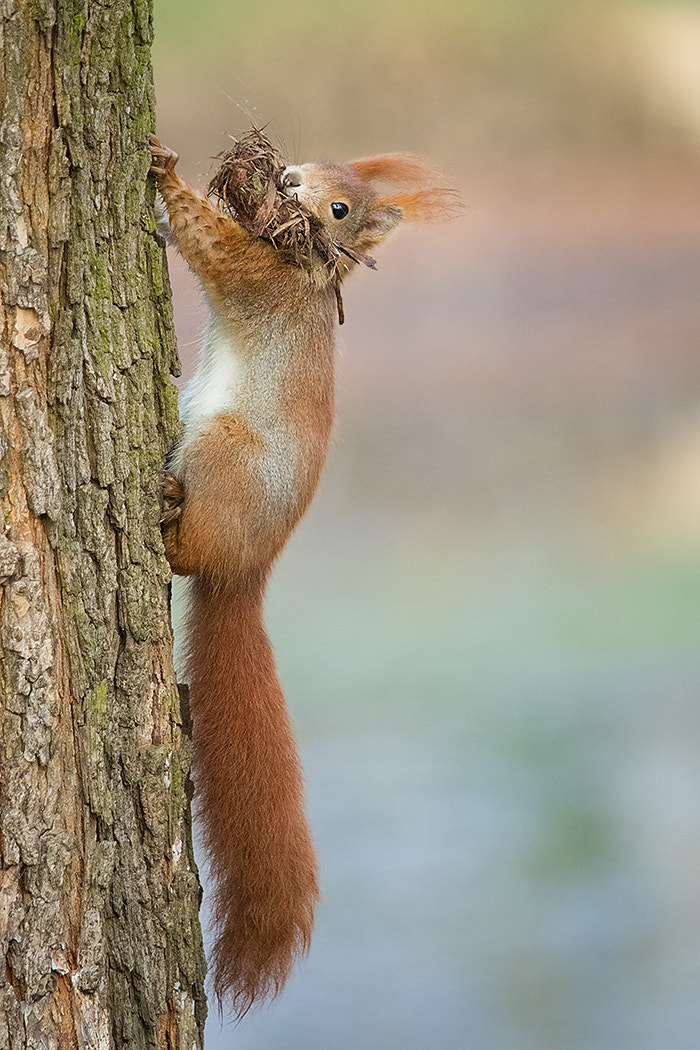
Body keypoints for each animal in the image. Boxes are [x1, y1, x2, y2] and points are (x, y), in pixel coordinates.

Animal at [149, 133, 455, 1016]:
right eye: (320, 164)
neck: (310, 273)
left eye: (341, 207)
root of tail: (248, 571)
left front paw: (165, 169)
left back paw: (170, 517)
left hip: (224, 457)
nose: (285, 177)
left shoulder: (258, 276)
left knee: (189, 550)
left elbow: (210, 241)